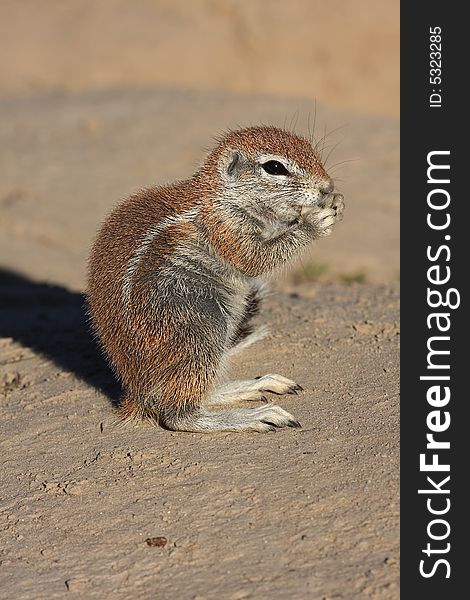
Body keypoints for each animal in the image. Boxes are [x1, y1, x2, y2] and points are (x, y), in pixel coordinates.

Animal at [87, 125, 346, 432]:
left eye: (312, 150)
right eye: (274, 167)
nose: (327, 187)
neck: (222, 197)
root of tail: (137, 393)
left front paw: (334, 204)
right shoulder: (225, 230)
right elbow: (256, 258)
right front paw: (315, 221)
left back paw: (253, 385)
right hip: (198, 328)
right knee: (177, 412)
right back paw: (254, 416)